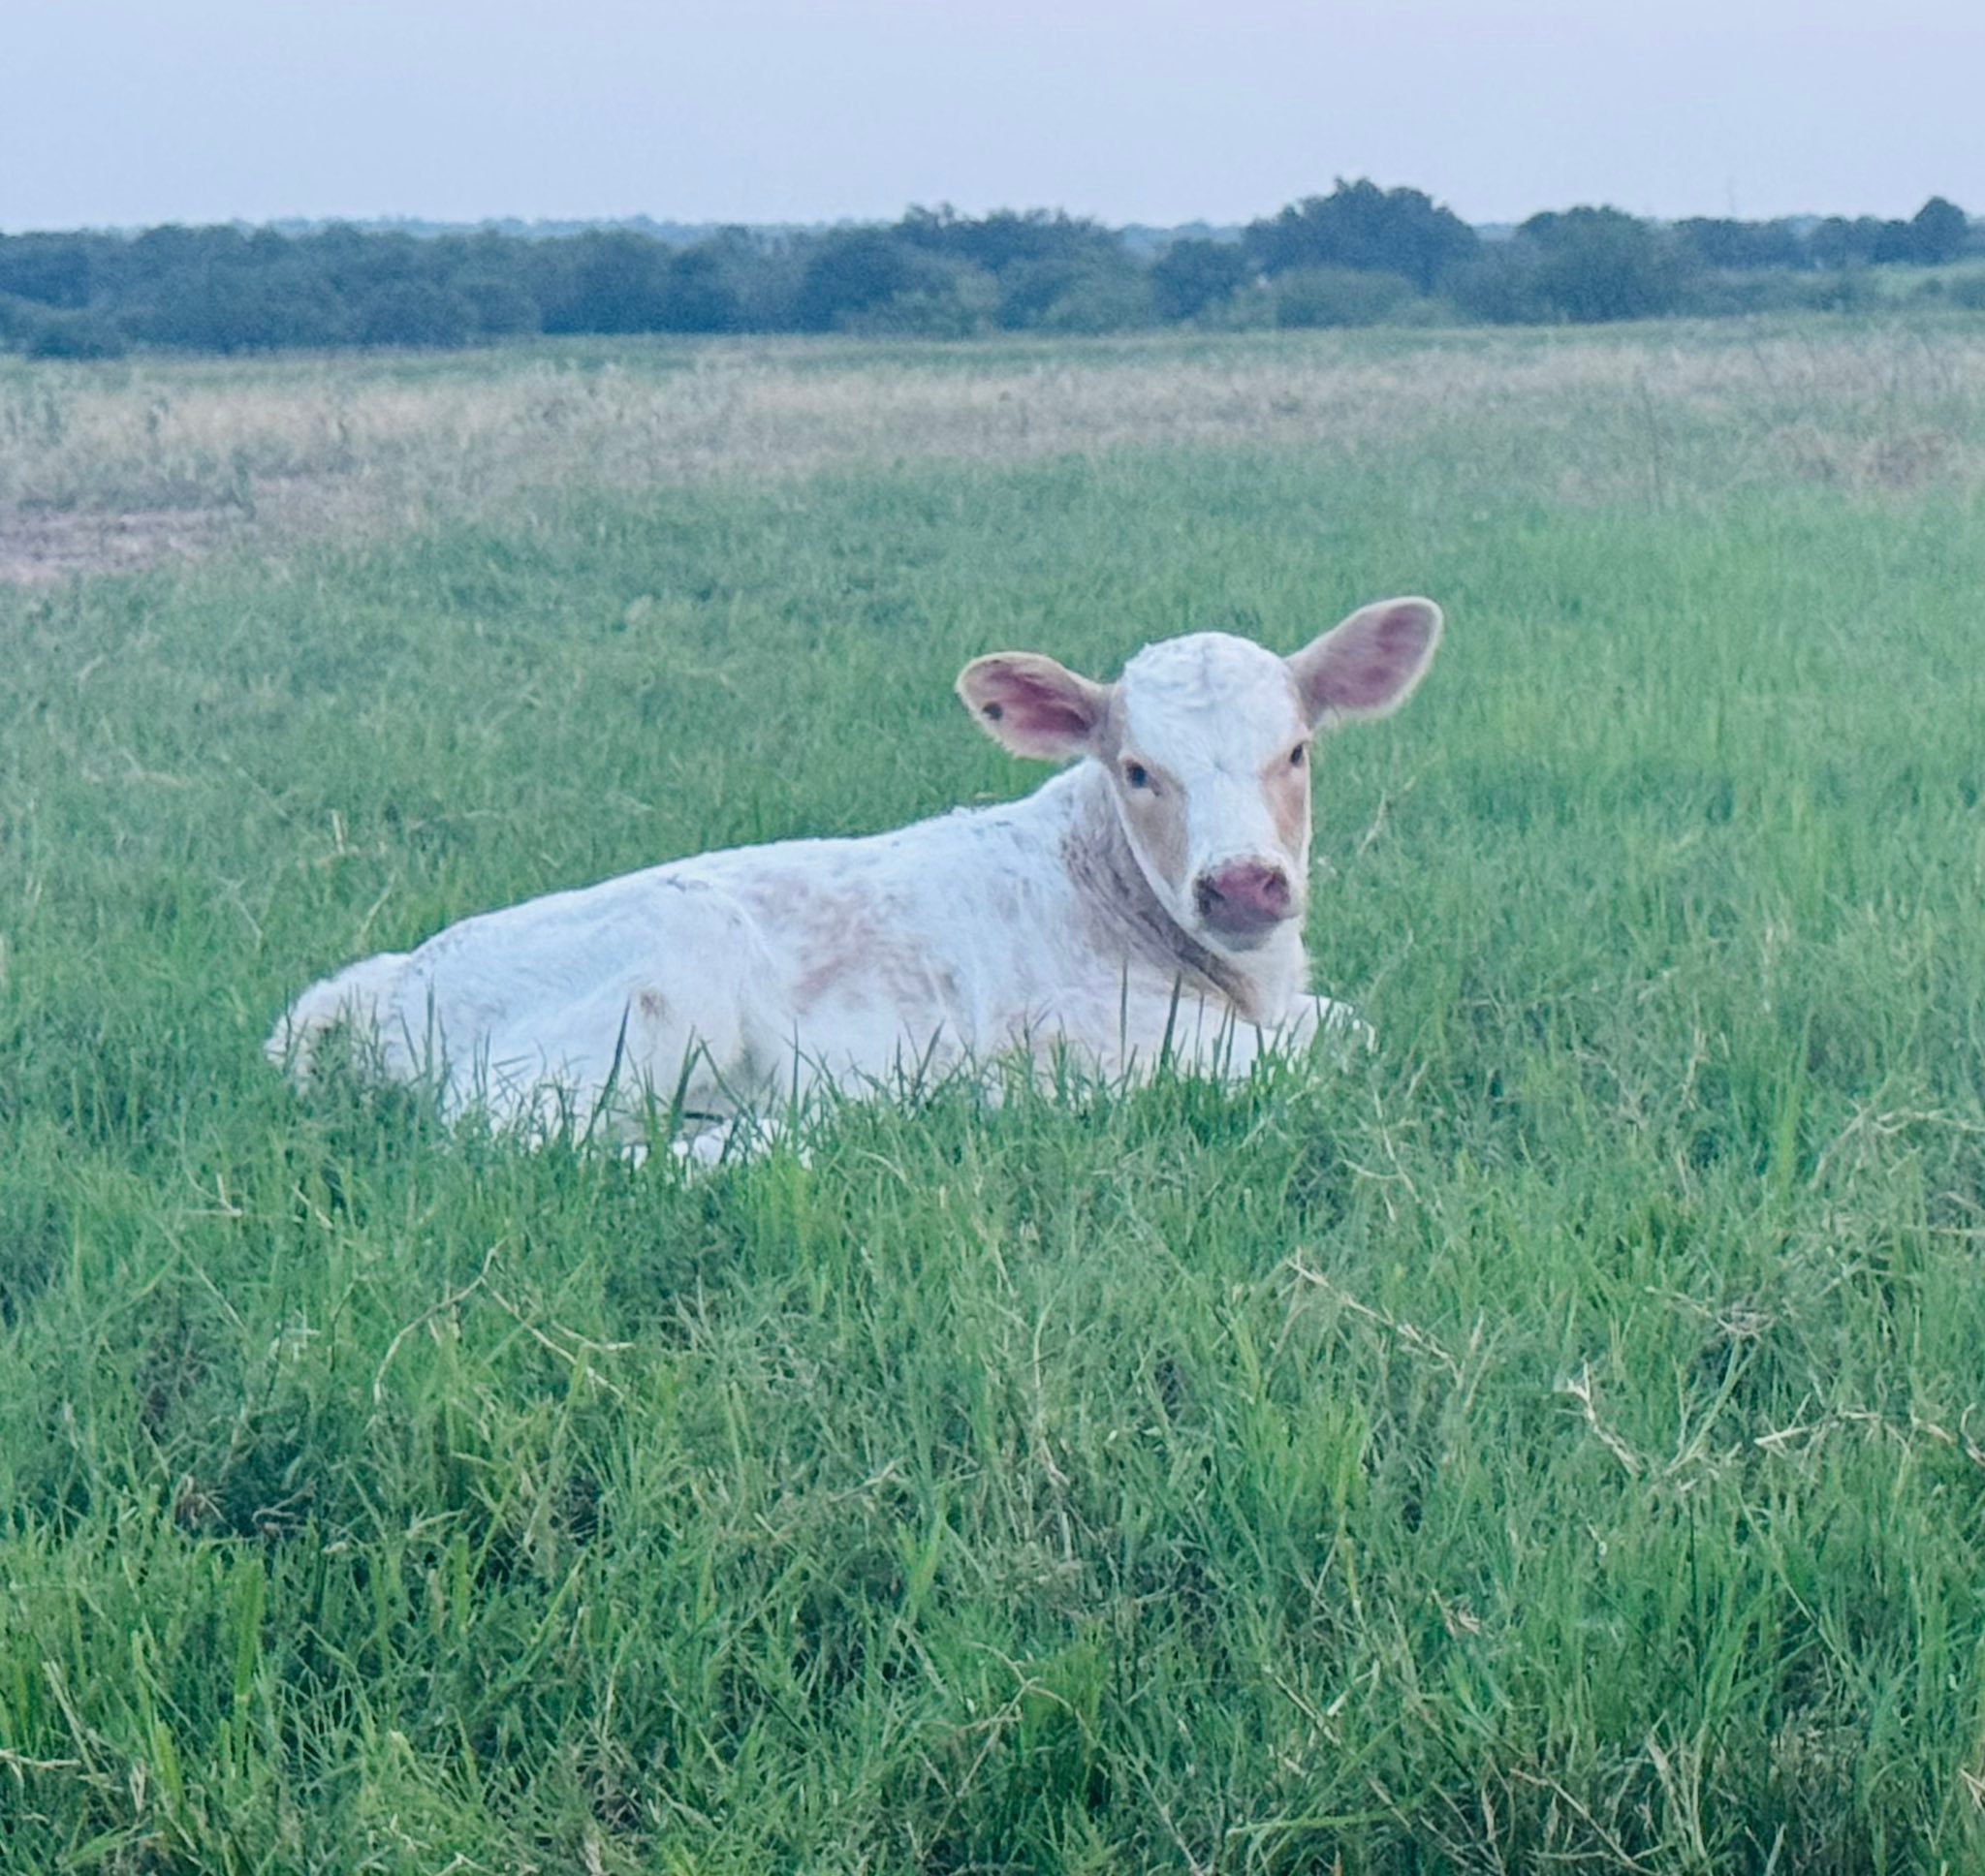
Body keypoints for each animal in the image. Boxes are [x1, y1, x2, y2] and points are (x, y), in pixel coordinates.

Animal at [268, 596, 1442, 1158]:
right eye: (1138, 770)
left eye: (1296, 750)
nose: (1241, 886)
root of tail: (387, 985)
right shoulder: (1101, 1041)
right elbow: (1312, 1056)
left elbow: (1351, 1026)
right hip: (653, 984)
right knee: (536, 1143)